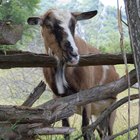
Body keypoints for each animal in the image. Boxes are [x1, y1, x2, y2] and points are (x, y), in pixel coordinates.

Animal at [27, 9, 119, 140]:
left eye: (74, 25)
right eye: (48, 25)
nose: (73, 55)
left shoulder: (86, 94)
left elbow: (85, 128)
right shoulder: (59, 98)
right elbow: (66, 128)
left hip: (111, 108)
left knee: (110, 132)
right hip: (98, 114)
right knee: (102, 133)